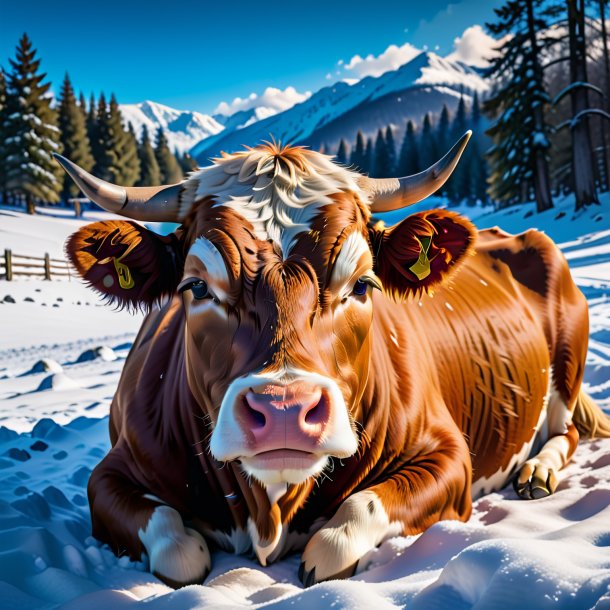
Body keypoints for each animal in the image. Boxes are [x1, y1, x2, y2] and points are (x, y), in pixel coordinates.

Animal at [53, 135, 608, 588]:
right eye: (196, 287)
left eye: (362, 284)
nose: (283, 409)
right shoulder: (111, 472)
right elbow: (177, 547)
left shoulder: (450, 455)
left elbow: (342, 531)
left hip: (568, 359)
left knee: (566, 430)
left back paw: (537, 472)